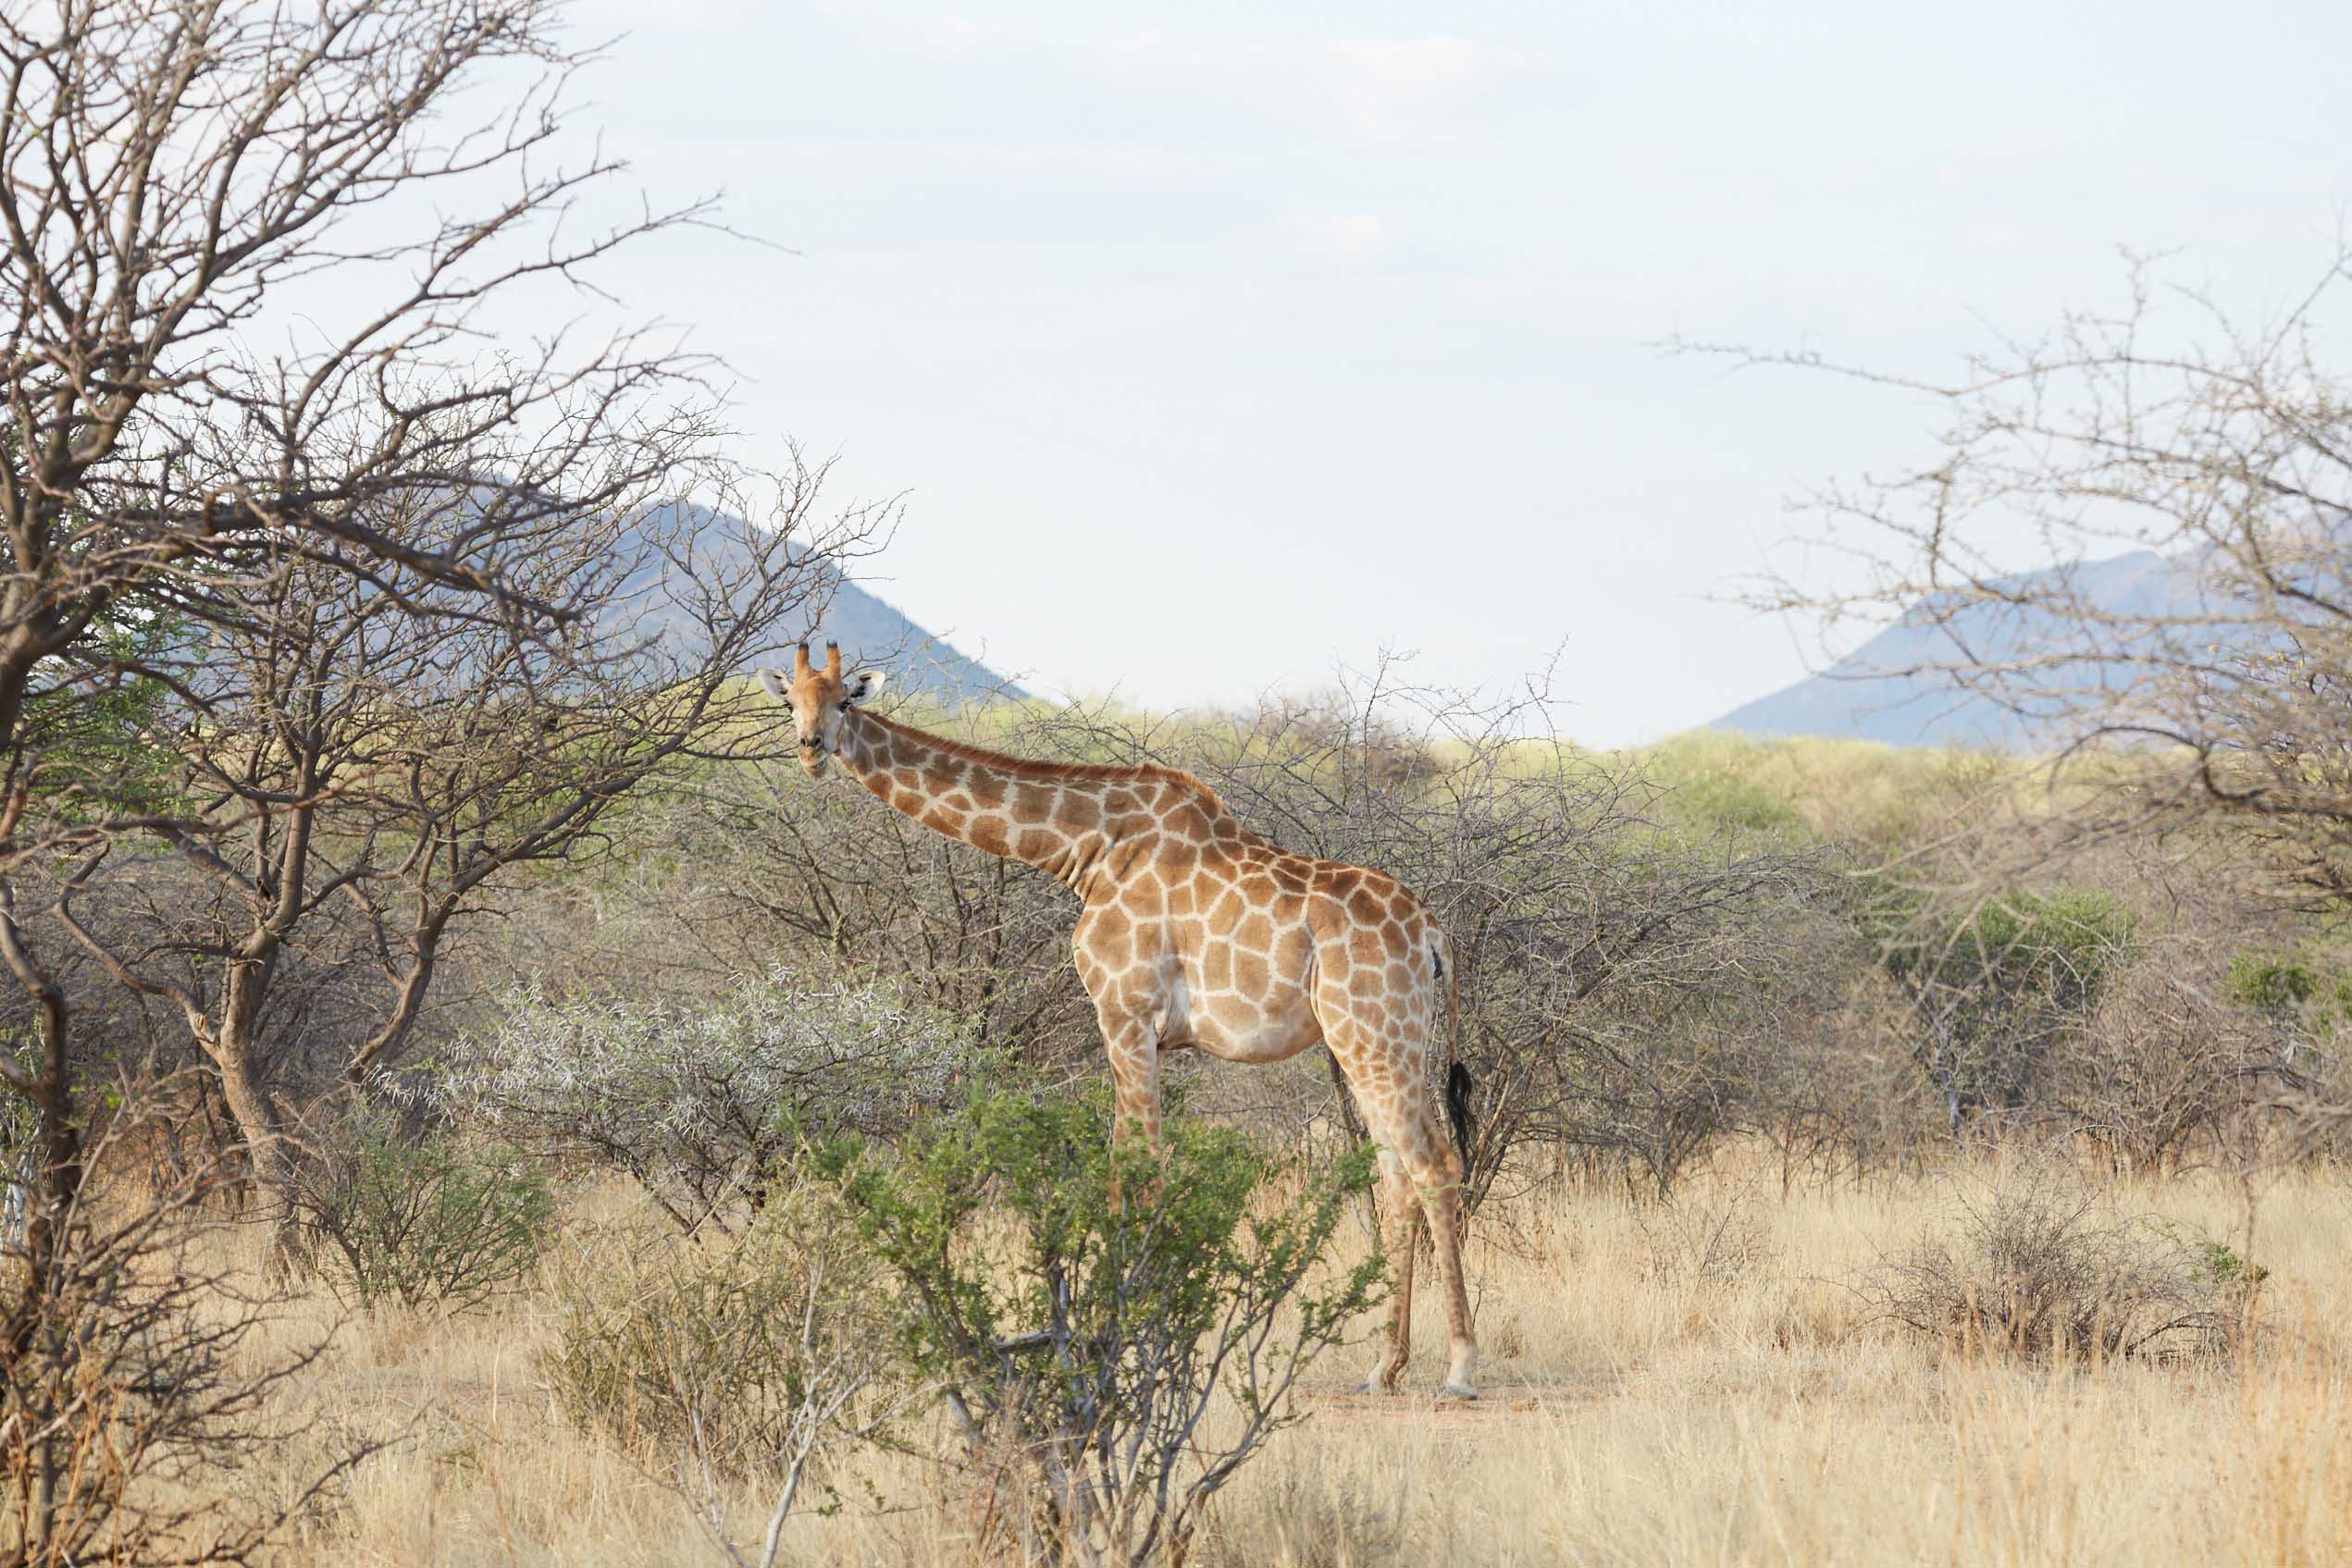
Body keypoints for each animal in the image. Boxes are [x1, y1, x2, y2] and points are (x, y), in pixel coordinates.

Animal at [759, 641, 1479, 1399]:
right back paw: (1384, 1365)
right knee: (1397, 1174)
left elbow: (1134, 1170)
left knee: (1433, 1164)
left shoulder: (1124, 1013)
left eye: (846, 700)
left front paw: (1132, 1338)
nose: (810, 749)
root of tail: (1433, 934)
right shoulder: (1140, 1029)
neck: (1087, 850)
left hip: (1376, 1035)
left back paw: (1460, 1365)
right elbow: (1135, 1168)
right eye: (791, 701)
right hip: (1375, 1040)